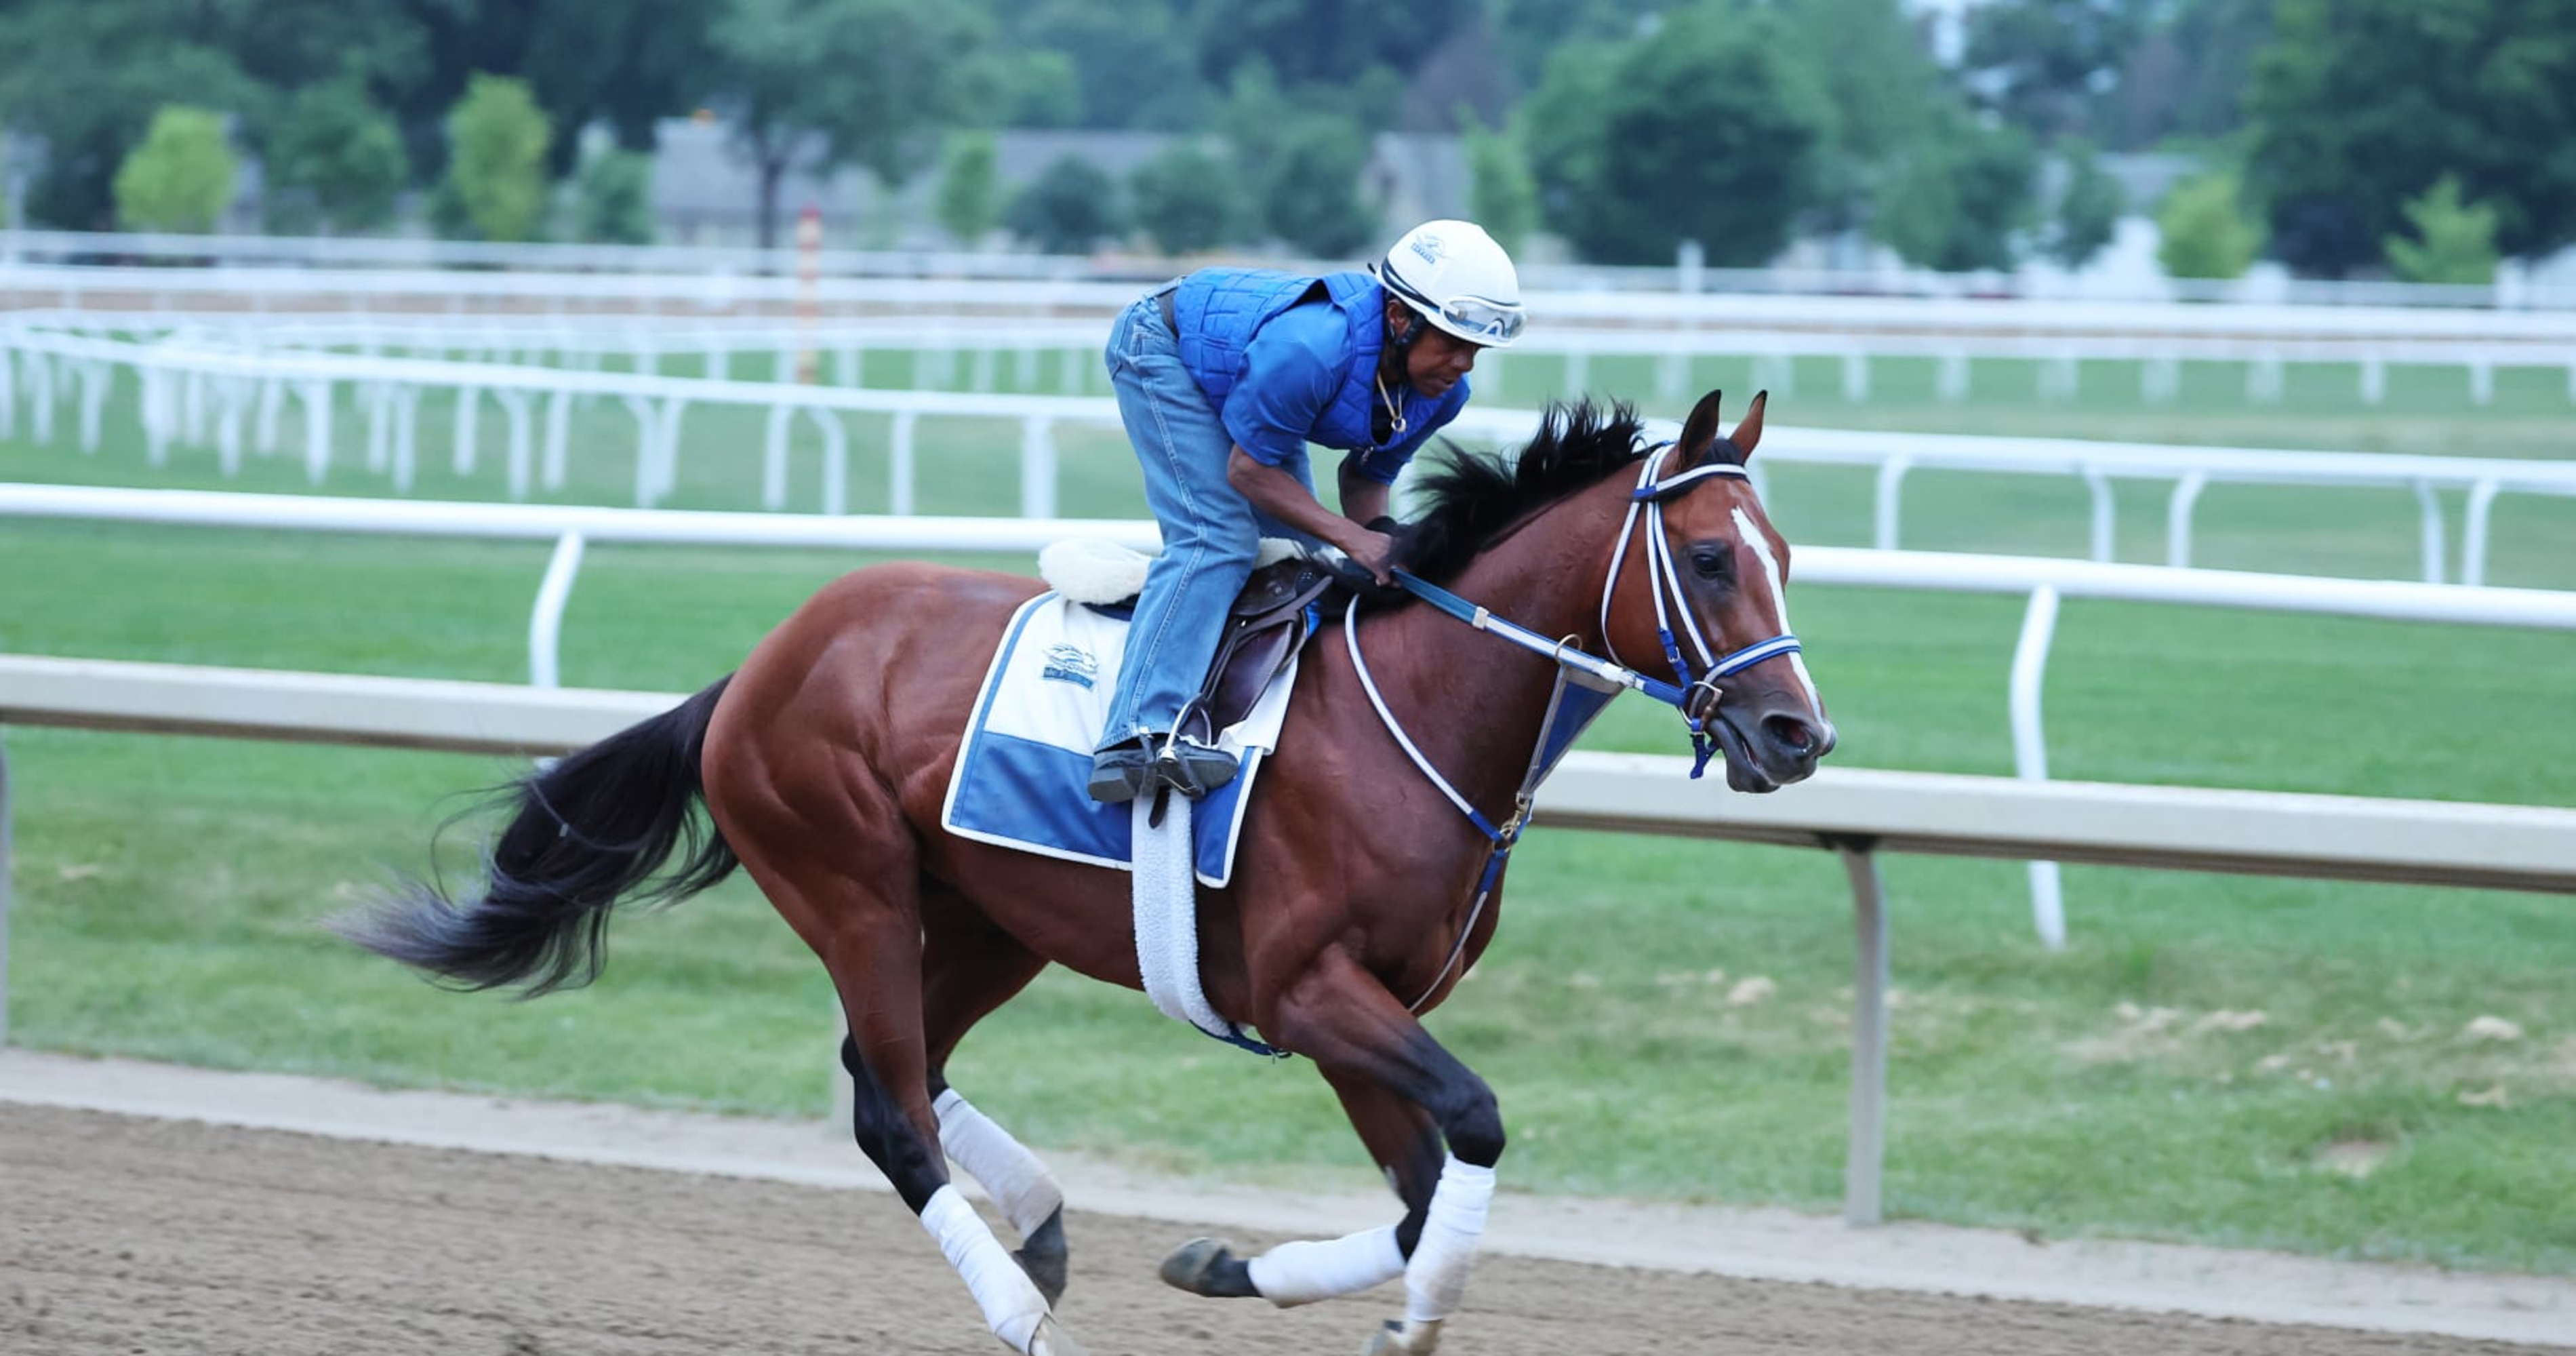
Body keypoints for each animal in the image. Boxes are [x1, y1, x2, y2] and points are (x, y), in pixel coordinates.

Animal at [337, 389, 1834, 1351]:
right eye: (1710, 557)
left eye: (1786, 556)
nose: (1797, 735)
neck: (1418, 709)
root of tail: (760, 666)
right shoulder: (1309, 993)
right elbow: (1473, 1128)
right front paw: (1381, 1313)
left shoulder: (1363, 1014)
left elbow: (1423, 1205)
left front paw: (1227, 1265)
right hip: (848, 880)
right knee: (889, 1107)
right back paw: (1016, 1309)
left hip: (993, 918)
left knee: (896, 1066)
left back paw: (1044, 1226)